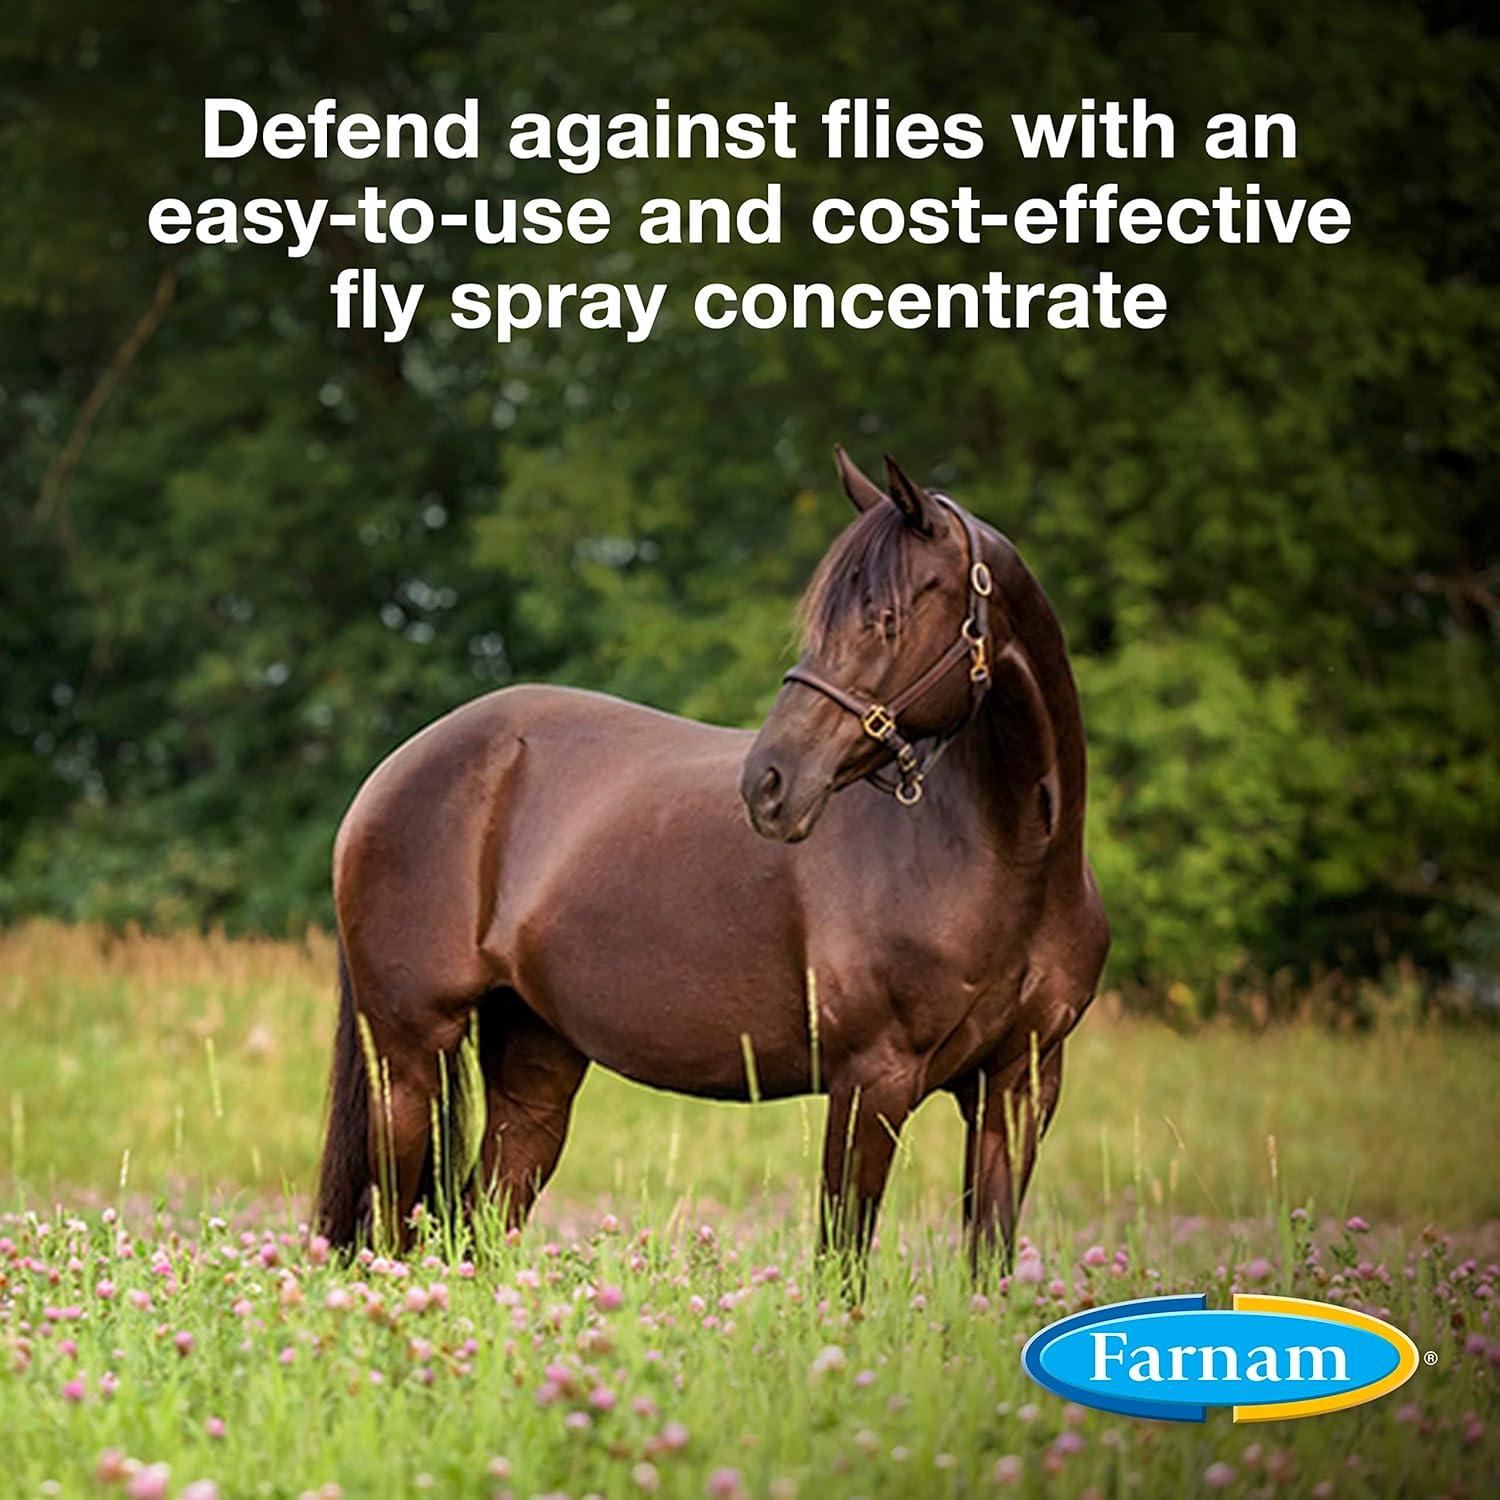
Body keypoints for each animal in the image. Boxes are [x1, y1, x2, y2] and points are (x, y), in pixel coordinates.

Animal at [315, 448, 1108, 1269]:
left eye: (887, 618)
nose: (771, 782)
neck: (1009, 860)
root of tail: (392, 773)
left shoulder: (1018, 1088)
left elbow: (989, 1259)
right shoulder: (872, 1080)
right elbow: (842, 1262)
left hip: (534, 1066)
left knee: (482, 1225)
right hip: (409, 1060)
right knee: (388, 1230)